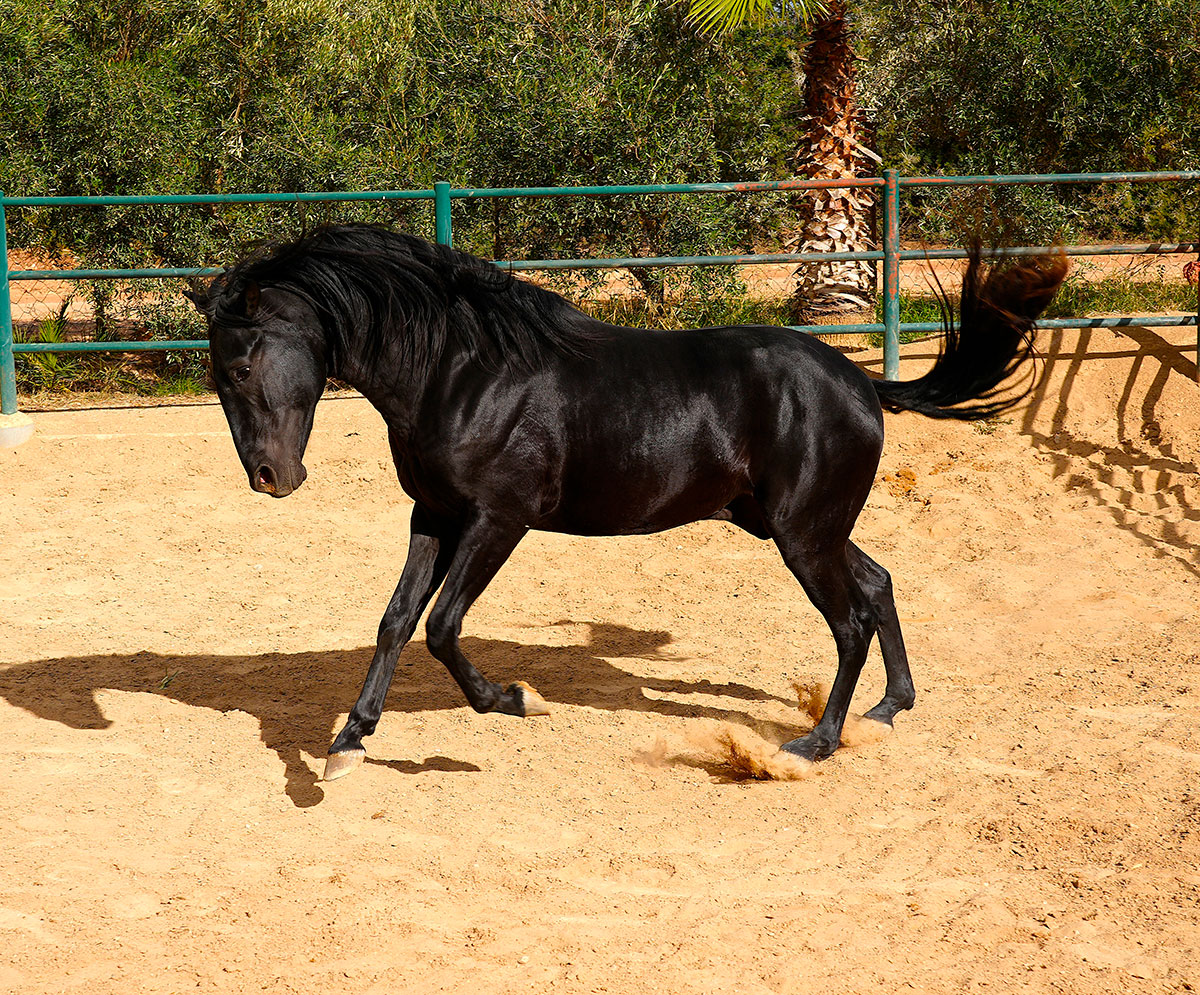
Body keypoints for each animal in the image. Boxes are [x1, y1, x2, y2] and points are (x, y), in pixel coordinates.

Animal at [184, 225, 1060, 777]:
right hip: (799, 525)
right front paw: (348, 741)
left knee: (849, 622)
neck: (462, 370)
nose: (270, 477)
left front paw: (513, 700)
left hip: (803, 536)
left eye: (241, 365)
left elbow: (442, 626)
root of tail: (860, 382)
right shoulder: (431, 515)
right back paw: (889, 708)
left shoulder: (498, 520)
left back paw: (813, 744)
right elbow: (397, 621)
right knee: (878, 585)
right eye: (217, 376)